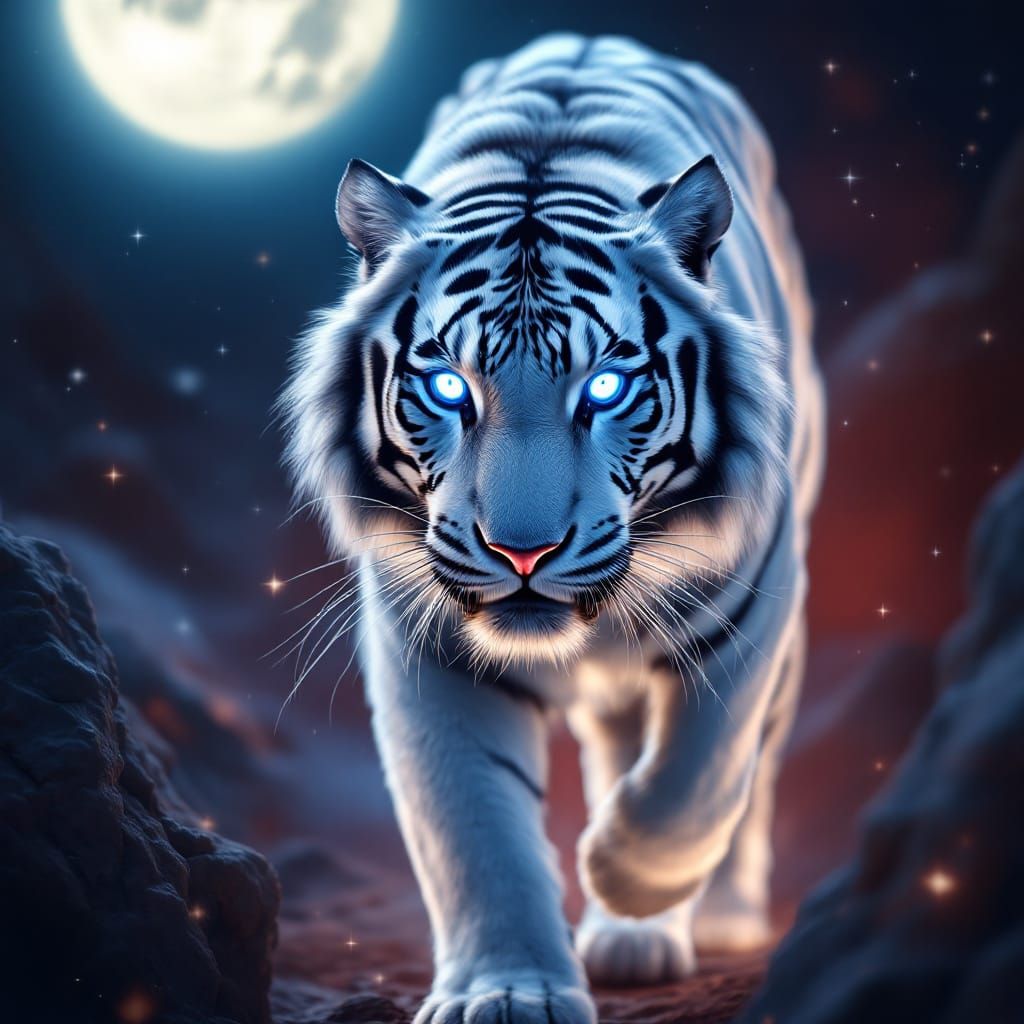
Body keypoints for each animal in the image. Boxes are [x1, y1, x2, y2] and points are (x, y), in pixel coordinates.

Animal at [282, 33, 825, 1024]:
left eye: (605, 387)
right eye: (448, 387)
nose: (522, 552)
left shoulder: (754, 601)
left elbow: (697, 775)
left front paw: (620, 873)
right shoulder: (426, 644)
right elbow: (472, 829)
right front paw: (507, 991)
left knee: (745, 771)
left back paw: (687, 920)